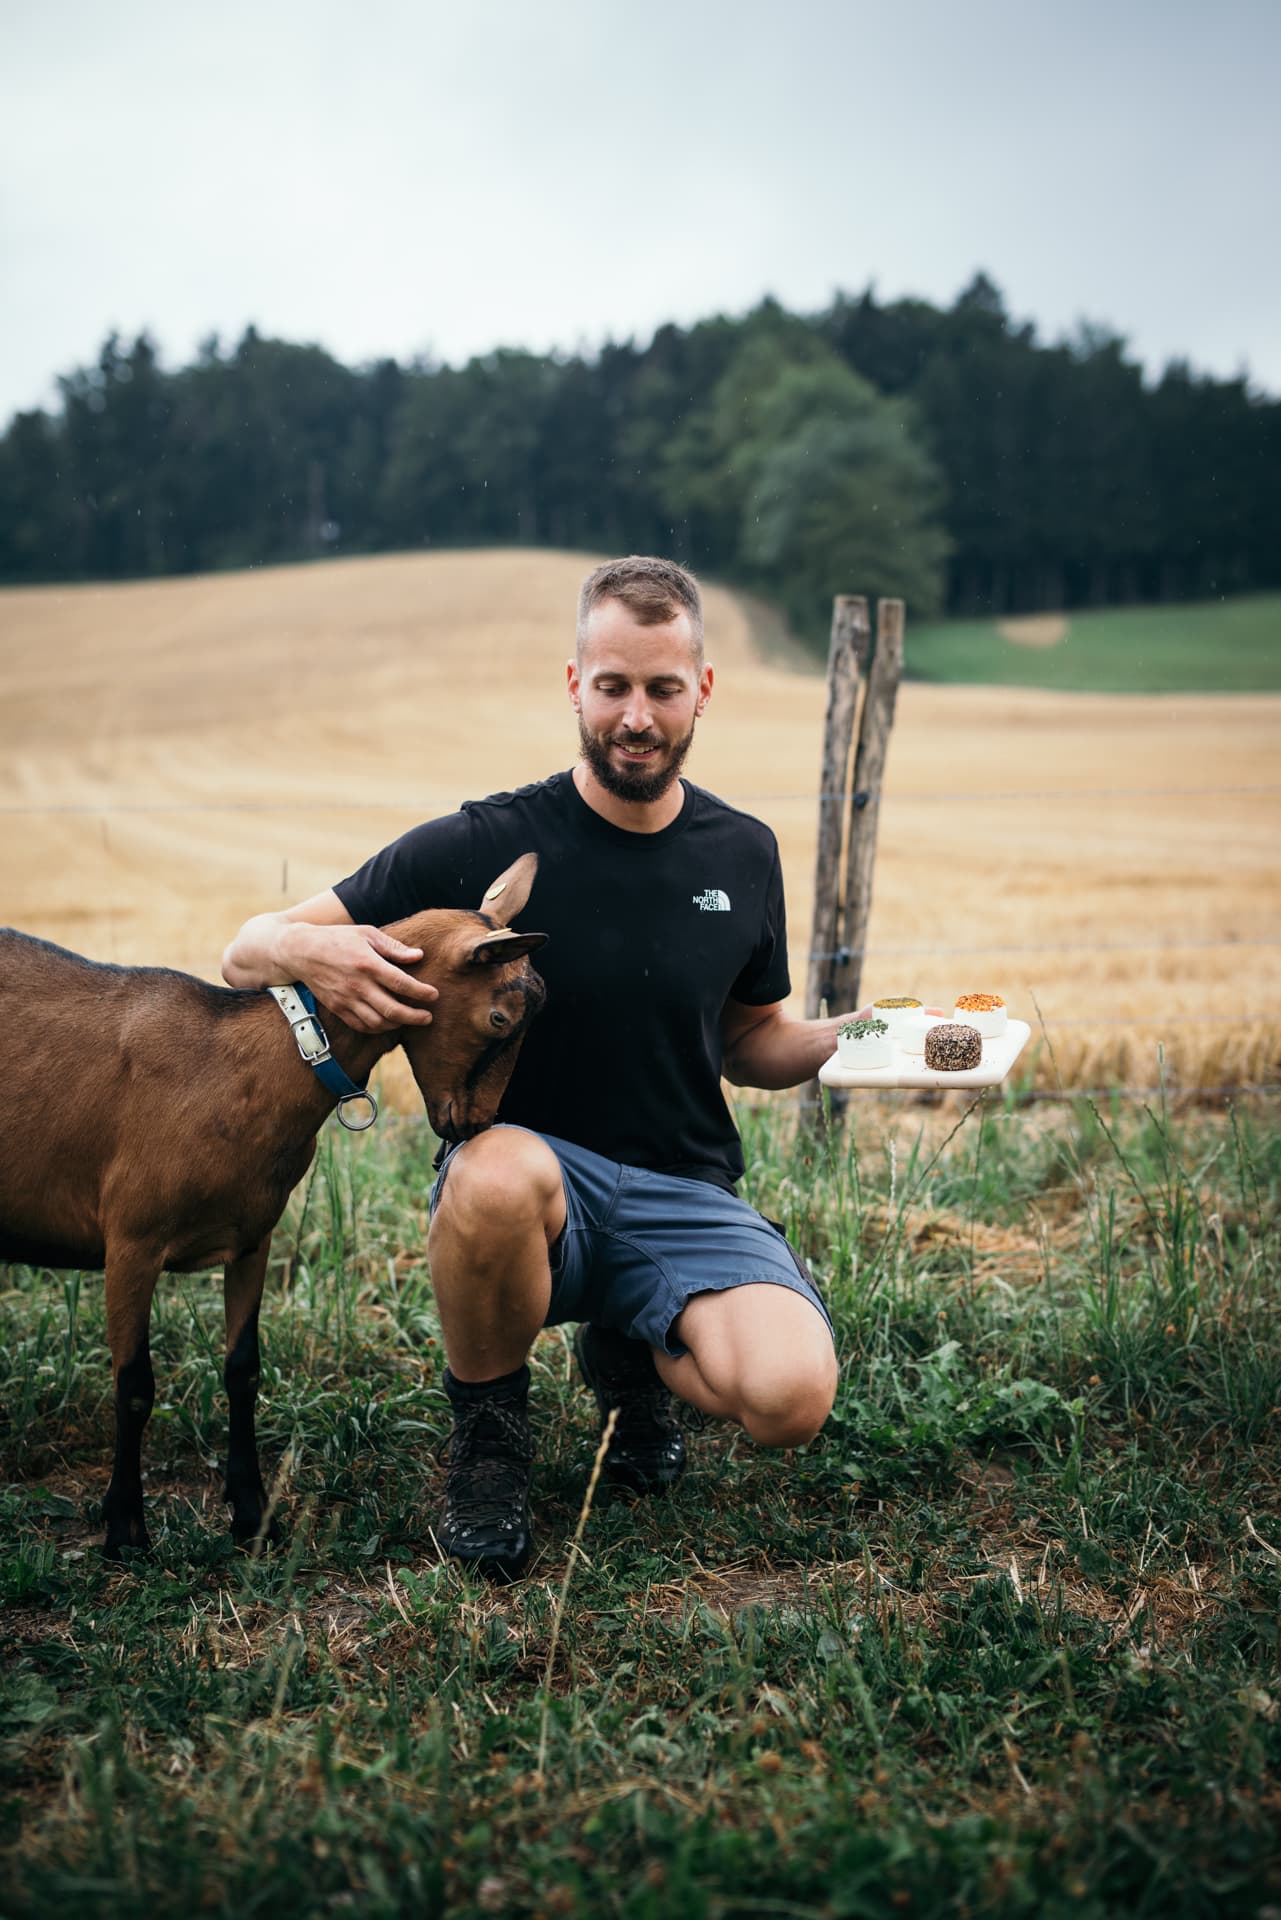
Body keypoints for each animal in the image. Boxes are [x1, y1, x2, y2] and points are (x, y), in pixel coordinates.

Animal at [0, 856, 545, 1559]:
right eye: (500, 1020)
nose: (475, 1125)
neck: (236, 1067)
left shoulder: (251, 1237)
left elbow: (243, 1370)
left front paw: (253, 1514)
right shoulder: (130, 1243)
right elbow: (134, 1386)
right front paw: (125, 1528)